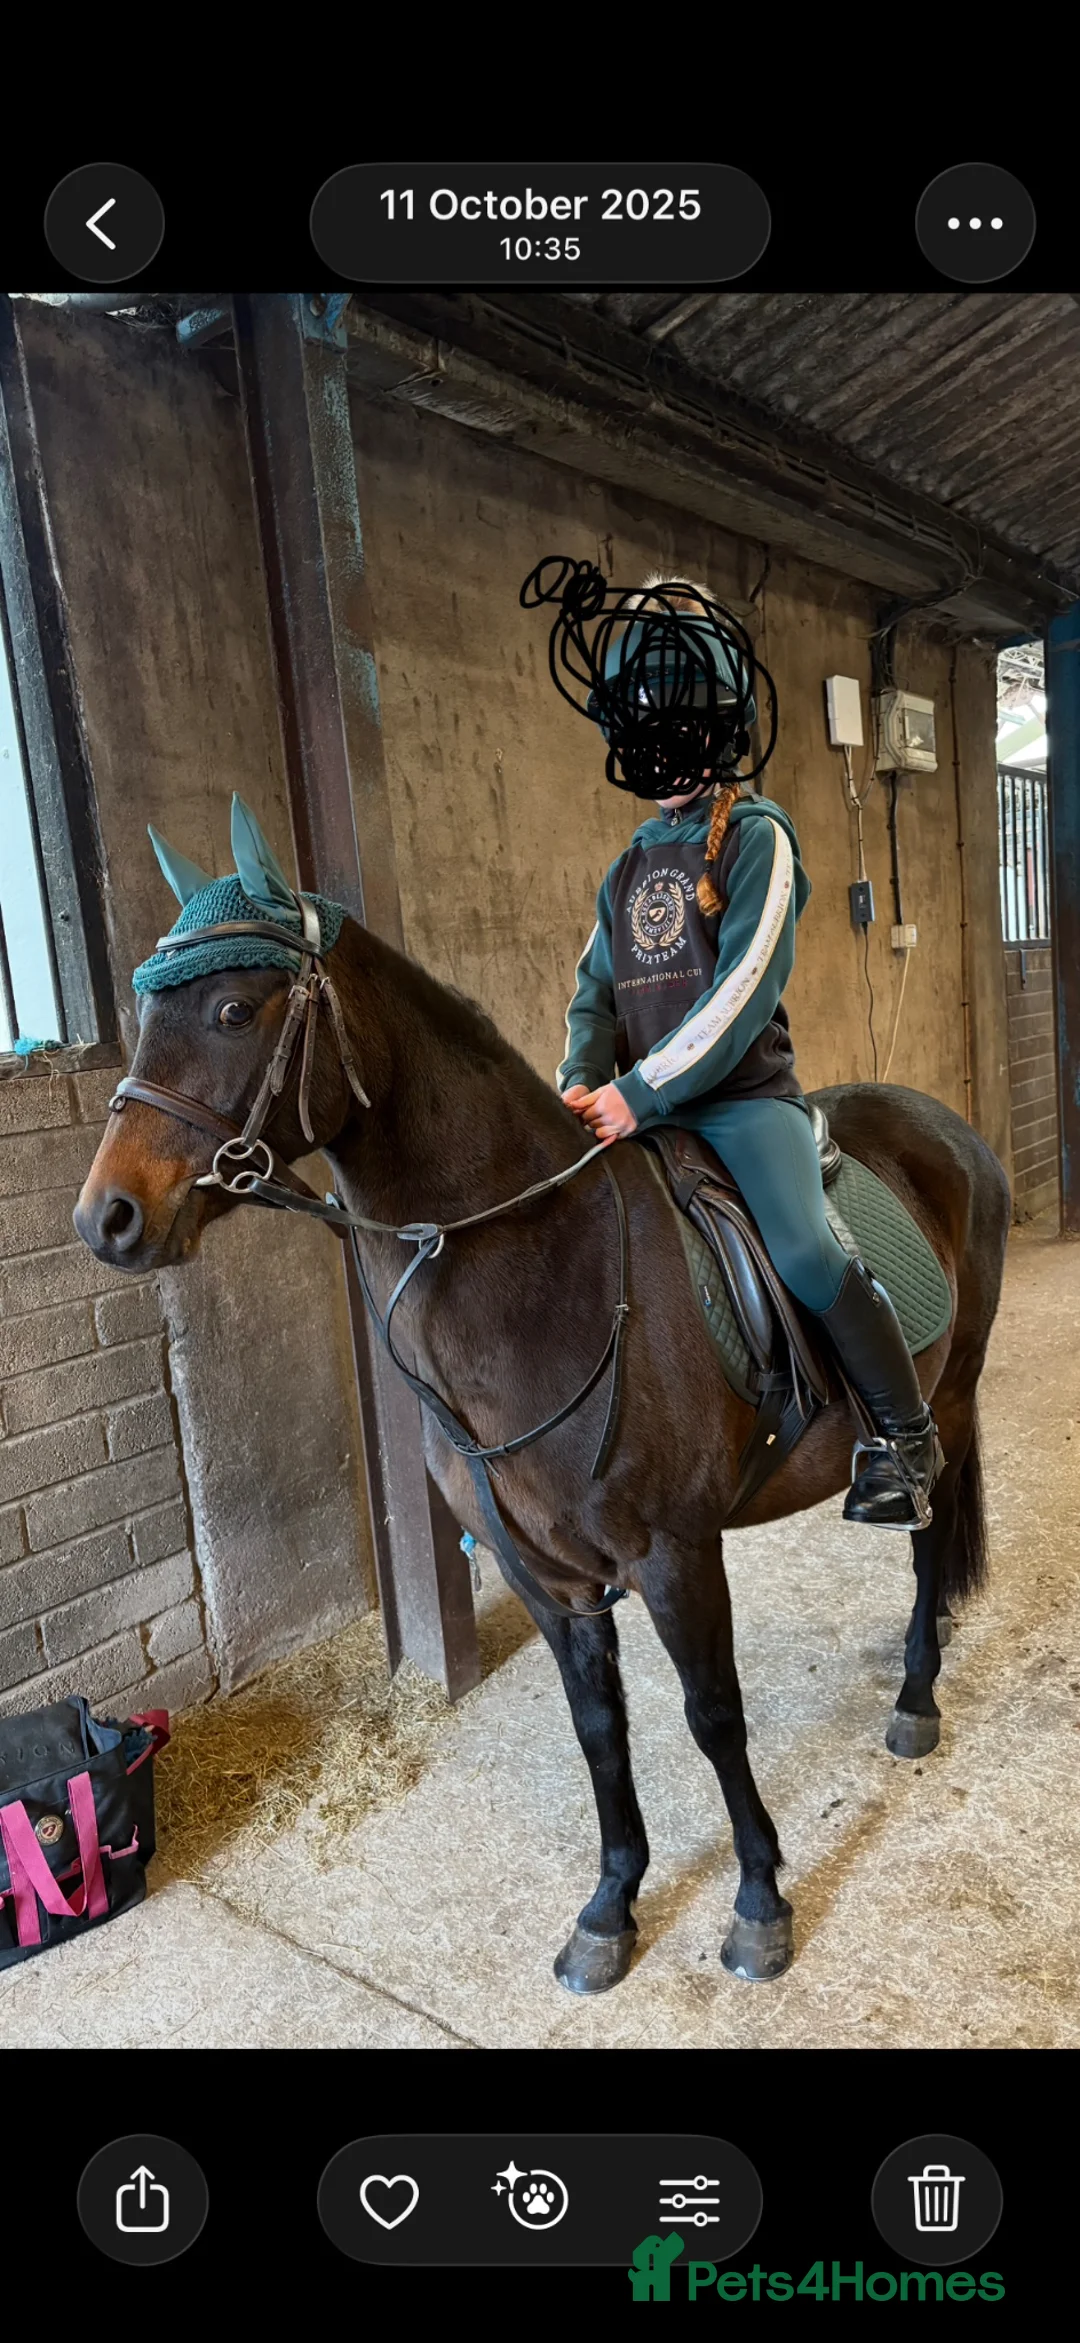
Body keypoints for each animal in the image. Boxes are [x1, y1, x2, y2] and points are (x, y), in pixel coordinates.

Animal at [73, 901, 1011, 1995]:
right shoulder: (543, 1575)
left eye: (231, 1009)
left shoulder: (676, 1555)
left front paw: (759, 1903)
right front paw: (610, 1910)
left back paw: (916, 1694)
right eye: (145, 1013)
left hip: (948, 1395)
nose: (107, 1217)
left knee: (927, 1532)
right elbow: (598, 1728)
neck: (548, 1273)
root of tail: (944, 1125)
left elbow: (712, 1715)